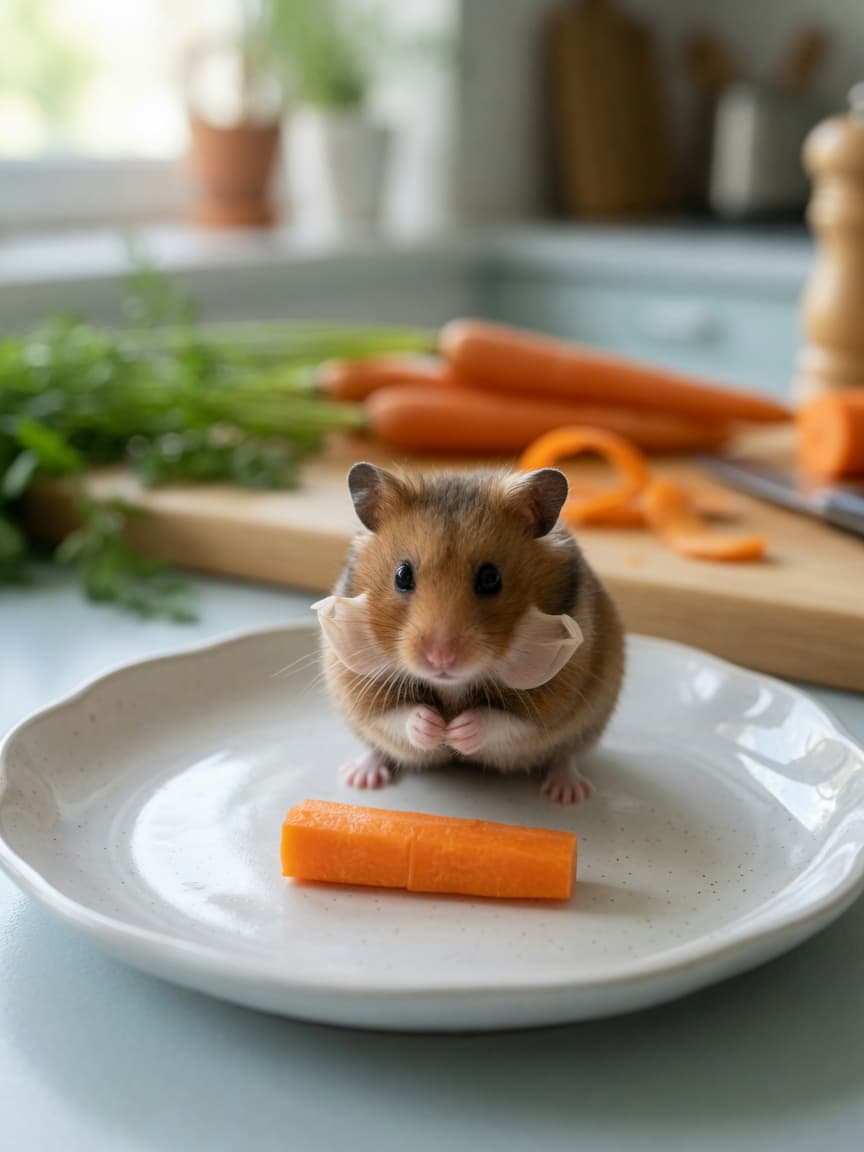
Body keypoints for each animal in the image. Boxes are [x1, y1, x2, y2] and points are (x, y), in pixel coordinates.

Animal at [318, 462, 624, 805]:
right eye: (402, 575)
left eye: (491, 578)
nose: (441, 657)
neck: (451, 686)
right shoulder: (355, 683)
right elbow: (396, 715)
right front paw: (435, 729)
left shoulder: (556, 694)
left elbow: (505, 721)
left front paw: (457, 732)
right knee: (377, 748)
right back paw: (360, 778)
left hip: (589, 720)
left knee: (564, 755)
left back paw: (568, 793)